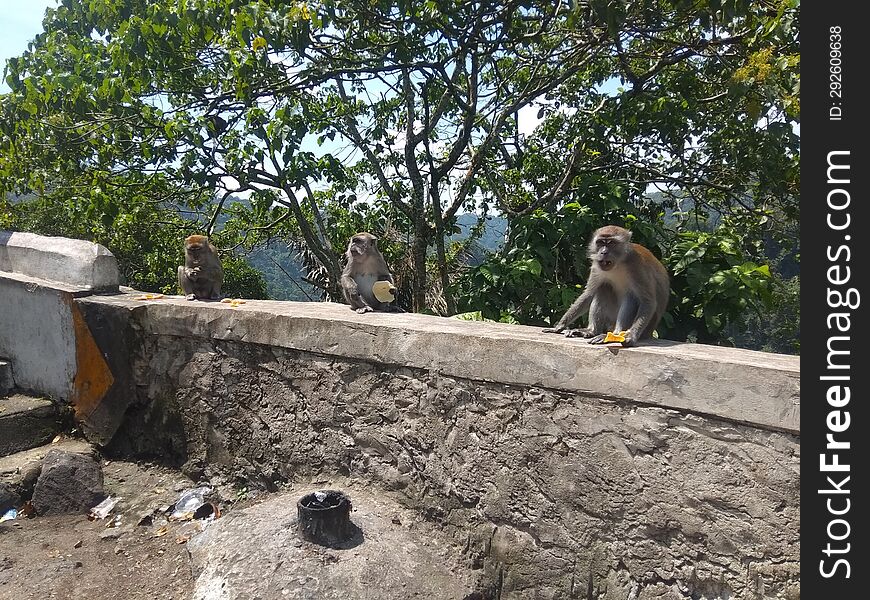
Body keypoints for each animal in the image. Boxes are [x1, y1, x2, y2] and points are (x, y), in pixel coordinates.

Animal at [540, 225, 672, 346]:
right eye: (600, 242)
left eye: (611, 243)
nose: (603, 252)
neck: (618, 263)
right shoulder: (596, 265)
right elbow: (589, 294)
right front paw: (559, 326)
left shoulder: (636, 265)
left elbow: (647, 301)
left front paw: (631, 336)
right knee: (603, 287)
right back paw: (591, 331)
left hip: (645, 327)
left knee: (631, 296)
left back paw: (615, 334)